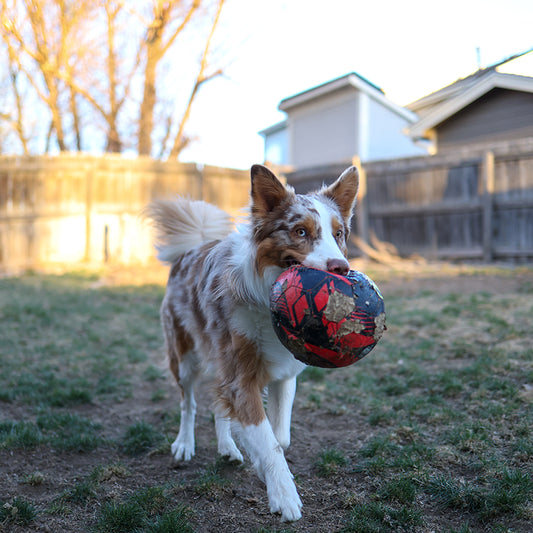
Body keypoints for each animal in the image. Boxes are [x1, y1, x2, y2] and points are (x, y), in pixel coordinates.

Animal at [145, 163, 358, 520]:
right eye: (301, 232)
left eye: (338, 234)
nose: (340, 268)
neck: (268, 298)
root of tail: (193, 247)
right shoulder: (241, 377)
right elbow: (267, 440)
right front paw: (284, 497)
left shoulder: (284, 373)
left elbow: (279, 437)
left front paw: (261, 464)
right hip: (184, 356)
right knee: (188, 402)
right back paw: (184, 444)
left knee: (219, 405)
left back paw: (228, 446)